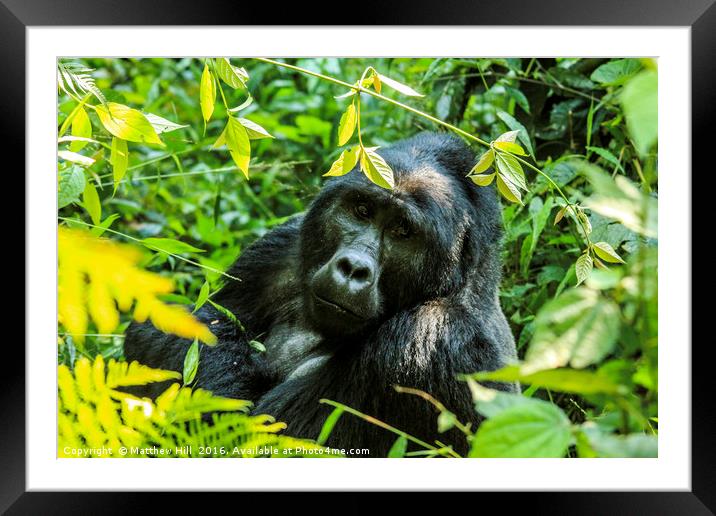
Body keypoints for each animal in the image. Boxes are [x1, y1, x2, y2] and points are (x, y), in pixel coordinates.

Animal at [123, 132, 516, 456]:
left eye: (403, 231)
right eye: (361, 210)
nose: (353, 268)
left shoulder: (432, 338)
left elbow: (249, 436)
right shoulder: (282, 243)